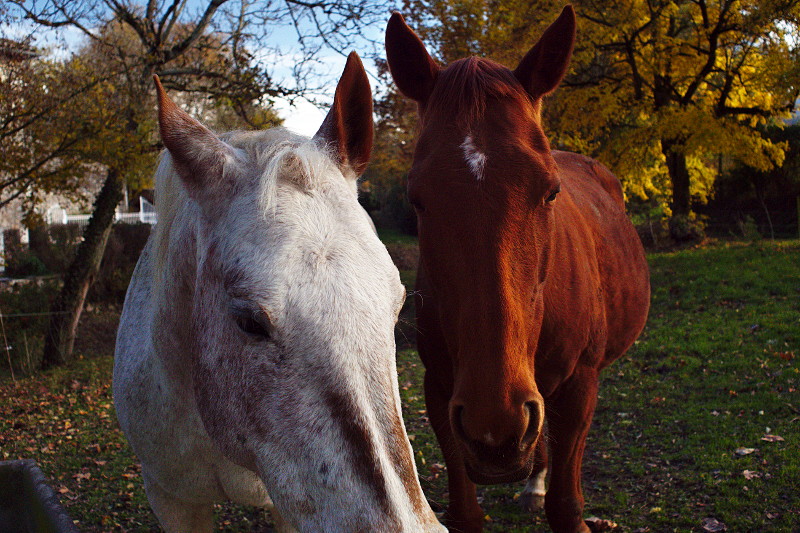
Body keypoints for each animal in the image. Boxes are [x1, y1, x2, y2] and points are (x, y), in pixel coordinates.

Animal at [386, 7, 648, 532]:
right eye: (417, 199)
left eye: (550, 192)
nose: (495, 428)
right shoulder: (440, 388)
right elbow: (466, 510)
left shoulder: (580, 386)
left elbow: (566, 506)